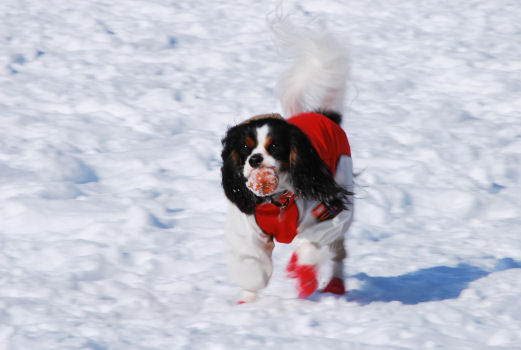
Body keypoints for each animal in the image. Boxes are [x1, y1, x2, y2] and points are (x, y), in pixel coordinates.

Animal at [219, 15, 354, 302]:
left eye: (275, 147)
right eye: (245, 148)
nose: (256, 160)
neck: (278, 198)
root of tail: (324, 115)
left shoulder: (329, 214)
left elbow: (309, 245)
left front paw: (302, 272)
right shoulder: (248, 230)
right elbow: (252, 268)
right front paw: (247, 301)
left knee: (337, 253)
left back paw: (334, 286)